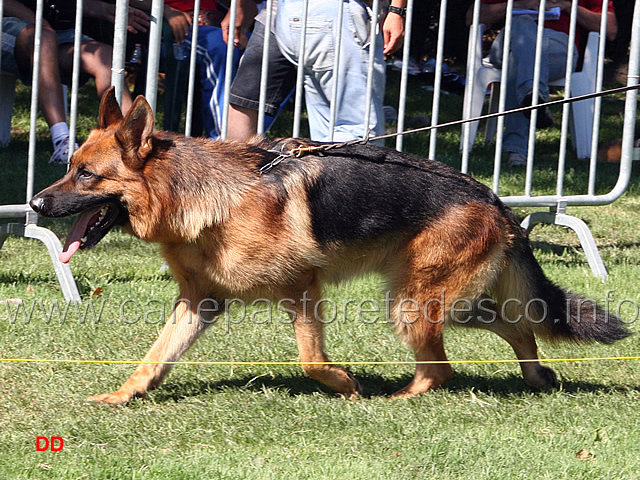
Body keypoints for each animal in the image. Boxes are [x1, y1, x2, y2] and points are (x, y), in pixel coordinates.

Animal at [31, 88, 632, 404]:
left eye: (86, 175)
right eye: (70, 168)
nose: (35, 204)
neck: (201, 197)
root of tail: (495, 199)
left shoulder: (303, 289)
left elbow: (312, 360)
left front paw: (345, 384)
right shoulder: (199, 304)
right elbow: (154, 357)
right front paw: (122, 395)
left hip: (412, 304)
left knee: (444, 368)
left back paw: (396, 401)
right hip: (453, 303)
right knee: (517, 326)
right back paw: (535, 376)